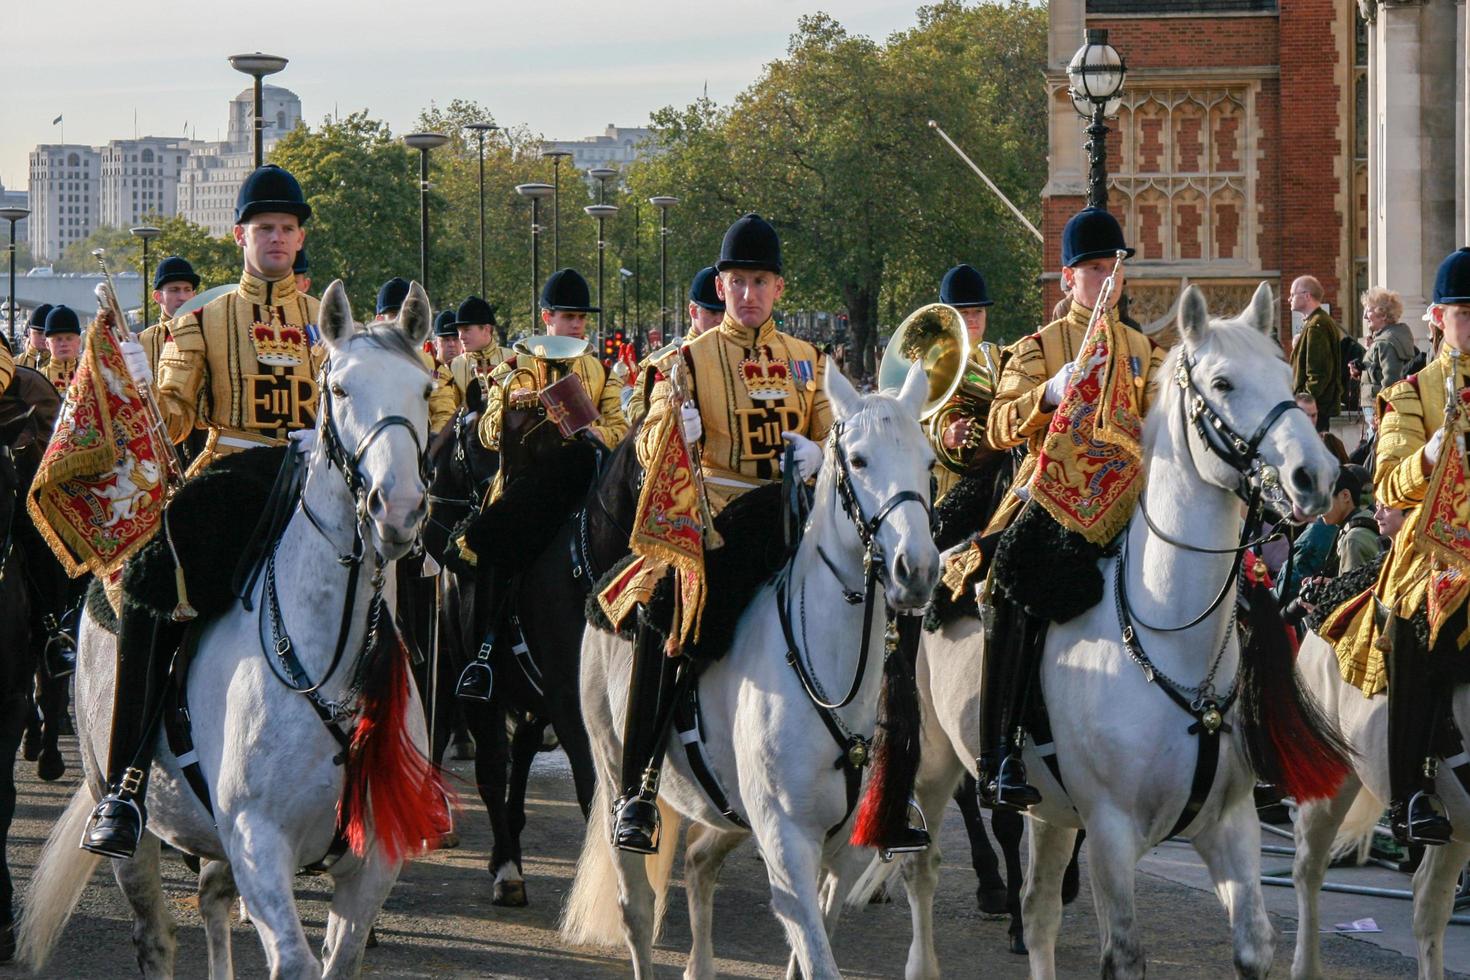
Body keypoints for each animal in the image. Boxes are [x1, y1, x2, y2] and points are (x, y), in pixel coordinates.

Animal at [17, 279, 438, 975]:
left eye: (427, 389)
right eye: (342, 387)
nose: (397, 509)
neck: (327, 663)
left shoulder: (370, 865)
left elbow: (338, 959)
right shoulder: (257, 843)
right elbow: (293, 963)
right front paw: (136, 363)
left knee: (213, 902)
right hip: (129, 817)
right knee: (156, 936)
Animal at [561, 364, 940, 980]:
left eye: (929, 463)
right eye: (859, 460)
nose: (919, 570)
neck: (829, 673)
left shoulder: (841, 851)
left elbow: (811, 952)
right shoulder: (787, 842)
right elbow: (815, 955)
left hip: (730, 811)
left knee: (697, 861)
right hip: (613, 763)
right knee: (635, 908)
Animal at [882, 279, 1346, 975]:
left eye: (1287, 373)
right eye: (1223, 382)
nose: (1315, 476)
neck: (1172, 641)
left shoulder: (1229, 824)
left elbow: (1255, 946)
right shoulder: (1110, 832)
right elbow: (1123, 954)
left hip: (1050, 812)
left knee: (1039, 912)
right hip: (936, 759)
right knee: (926, 867)